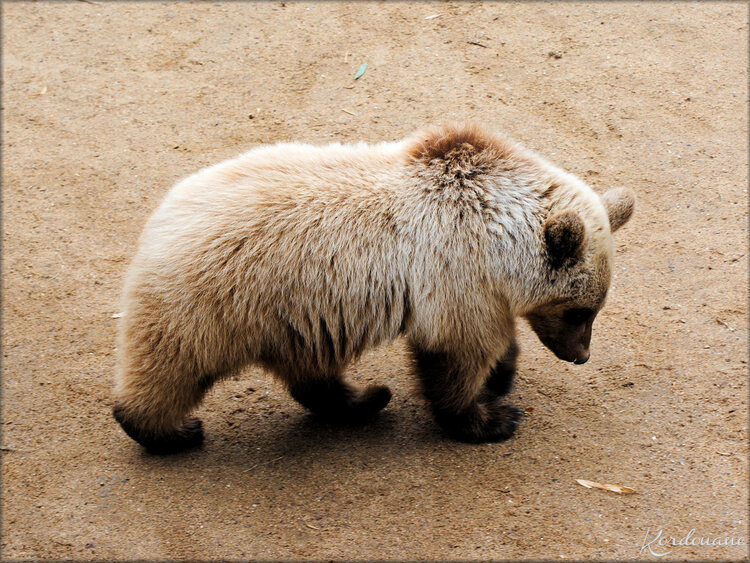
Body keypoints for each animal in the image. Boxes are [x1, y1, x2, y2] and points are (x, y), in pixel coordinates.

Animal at [114, 122, 636, 454]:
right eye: (579, 311)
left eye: (594, 309)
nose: (581, 354)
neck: (497, 237)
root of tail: (157, 222)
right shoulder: (456, 272)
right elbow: (458, 352)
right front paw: (490, 419)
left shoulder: (478, 286)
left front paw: (502, 377)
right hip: (213, 299)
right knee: (171, 367)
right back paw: (169, 430)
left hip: (294, 314)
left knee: (310, 371)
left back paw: (366, 398)